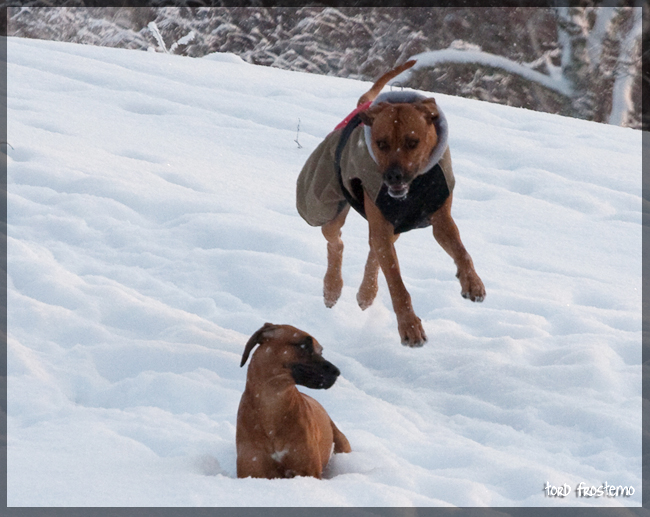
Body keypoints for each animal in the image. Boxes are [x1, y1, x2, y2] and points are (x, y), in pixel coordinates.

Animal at [237, 322, 352, 480]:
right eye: (304, 345)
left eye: (320, 351)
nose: (337, 371)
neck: (271, 402)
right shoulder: (251, 470)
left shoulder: (308, 471)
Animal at [296, 60, 484, 346]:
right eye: (381, 143)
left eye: (413, 142)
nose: (393, 176)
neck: (414, 186)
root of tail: (363, 104)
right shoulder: (380, 217)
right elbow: (396, 283)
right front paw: (410, 326)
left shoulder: (440, 217)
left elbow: (461, 250)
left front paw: (472, 281)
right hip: (328, 204)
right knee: (336, 241)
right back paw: (332, 288)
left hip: (392, 225)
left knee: (374, 250)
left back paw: (366, 292)